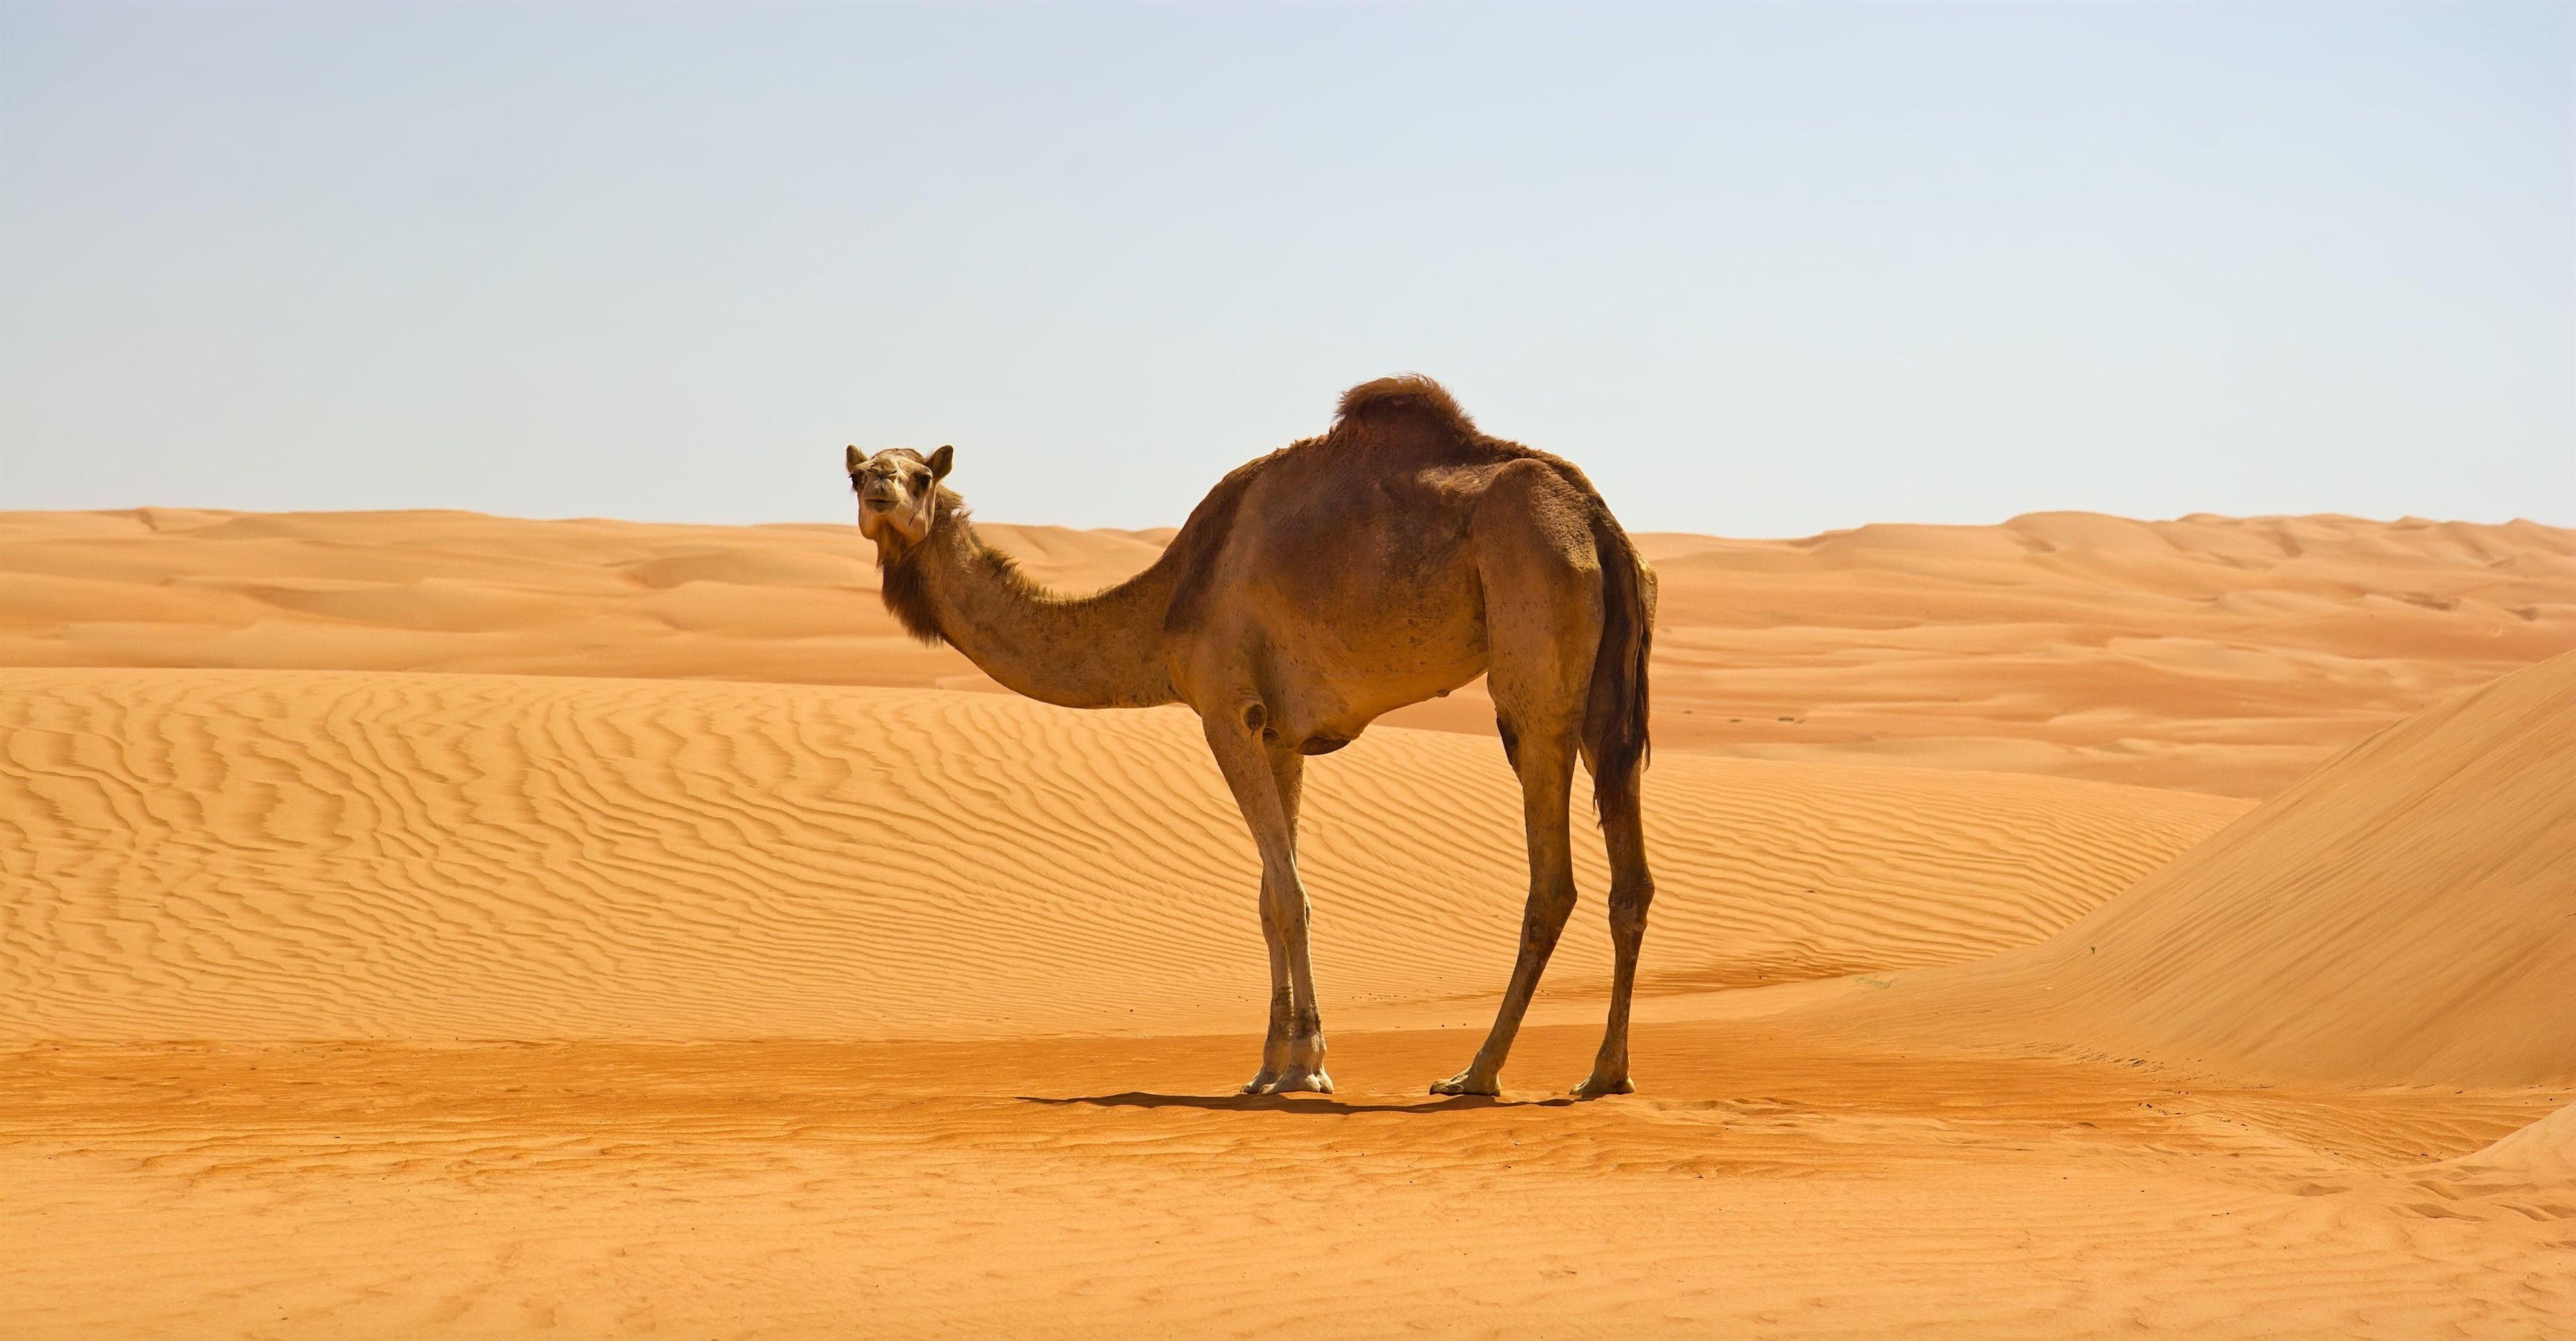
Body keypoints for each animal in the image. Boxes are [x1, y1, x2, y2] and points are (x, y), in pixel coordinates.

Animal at [845, 375, 1656, 1098]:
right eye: (856, 473)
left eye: (921, 475)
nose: (880, 490)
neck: (1169, 602)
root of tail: (1596, 519)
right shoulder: (1282, 736)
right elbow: (1270, 897)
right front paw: (1273, 1064)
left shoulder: (1225, 710)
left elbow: (1290, 893)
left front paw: (1308, 1067)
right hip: (1605, 688)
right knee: (1630, 876)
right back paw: (1604, 1072)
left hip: (1534, 631)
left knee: (1551, 877)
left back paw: (1476, 1073)